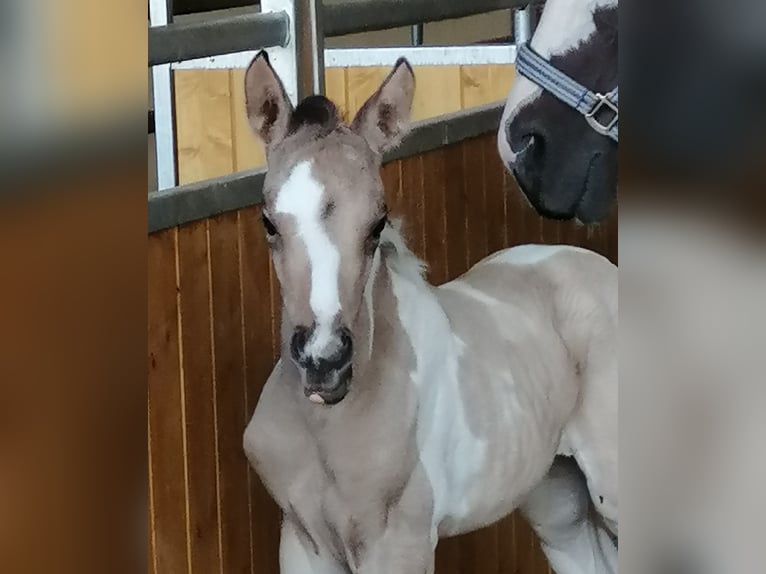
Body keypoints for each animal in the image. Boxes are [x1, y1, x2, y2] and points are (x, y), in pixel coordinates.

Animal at [243, 51, 620, 572]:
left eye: (377, 223)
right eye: (268, 222)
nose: (325, 361)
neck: (329, 431)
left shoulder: (402, 545)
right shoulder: (303, 543)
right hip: (556, 498)